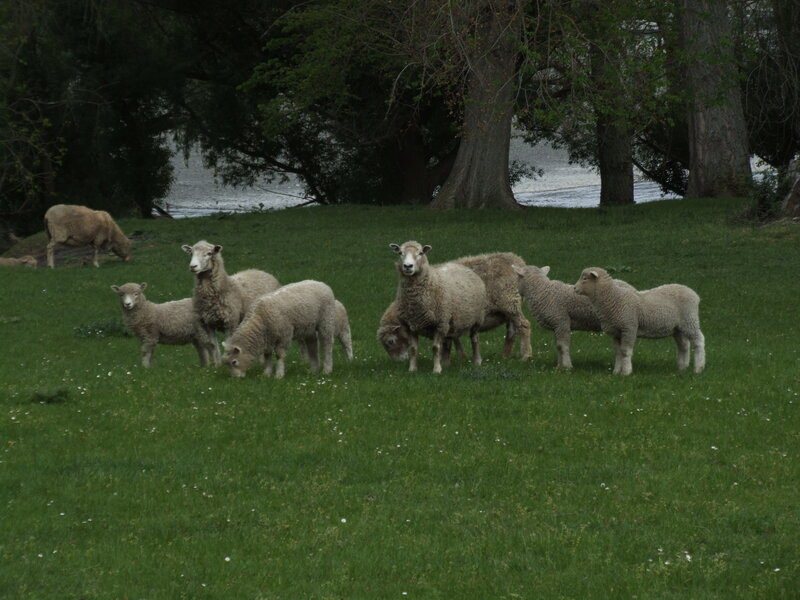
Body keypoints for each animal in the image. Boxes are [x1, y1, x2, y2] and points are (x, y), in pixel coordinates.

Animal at [378, 252, 531, 362]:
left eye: (390, 341)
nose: (399, 361)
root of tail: (518, 260)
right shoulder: (454, 318)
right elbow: (455, 339)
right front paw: (462, 357)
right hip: (509, 308)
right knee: (512, 332)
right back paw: (505, 356)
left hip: (509, 302)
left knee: (524, 326)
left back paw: (526, 356)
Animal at [390, 241, 487, 373]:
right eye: (400, 253)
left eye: (420, 253)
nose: (408, 266)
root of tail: (463, 266)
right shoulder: (410, 325)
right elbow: (413, 349)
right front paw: (412, 369)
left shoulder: (439, 324)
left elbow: (436, 348)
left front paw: (436, 370)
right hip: (450, 322)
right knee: (448, 342)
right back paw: (446, 363)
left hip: (477, 319)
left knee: (475, 339)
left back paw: (477, 361)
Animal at [574, 267, 705, 375]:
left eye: (585, 278)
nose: (574, 288)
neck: (614, 298)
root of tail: (694, 294)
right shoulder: (617, 332)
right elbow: (618, 352)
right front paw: (616, 371)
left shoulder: (629, 327)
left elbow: (625, 351)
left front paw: (626, 372)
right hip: (677, 328)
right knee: (683, 345)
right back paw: (682, 367)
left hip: (689, 320)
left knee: (699, 341)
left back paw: (698, 368)